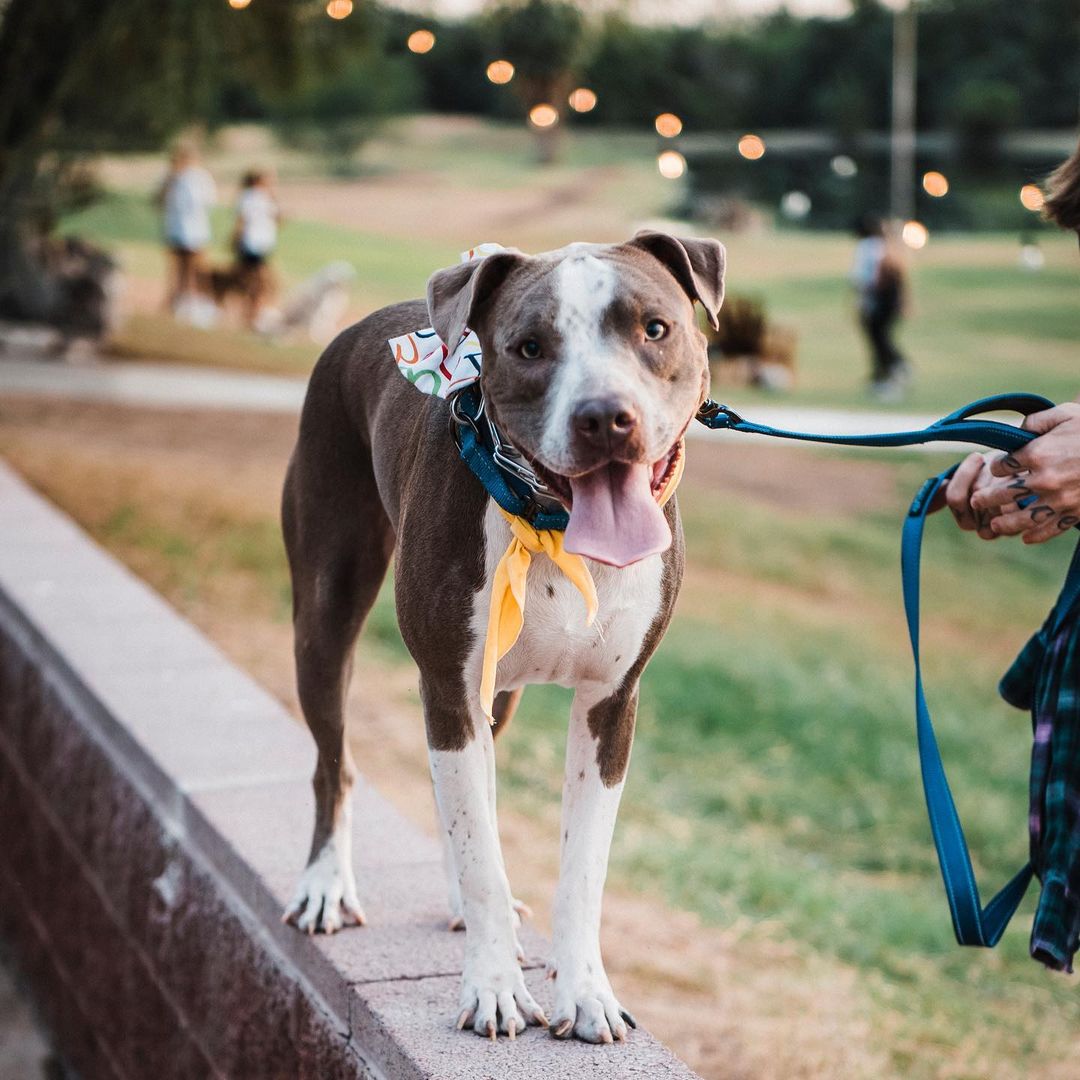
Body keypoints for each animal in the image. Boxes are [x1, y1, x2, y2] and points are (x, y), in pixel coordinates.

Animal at [278, 230, 725, 1045]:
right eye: (529, 347)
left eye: (655, 328)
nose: (604, 416)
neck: (552, 526)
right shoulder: (448, 685)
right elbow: (481, 850)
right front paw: (493, 990)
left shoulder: (611, 704)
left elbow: (576, 865)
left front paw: (585, 993)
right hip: (324, 623)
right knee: (337, 764)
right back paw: (326, 885)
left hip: (495, 693)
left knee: (467, 792)